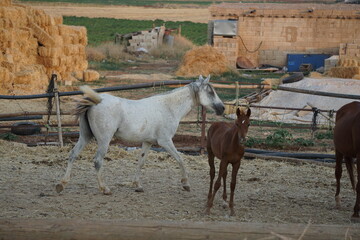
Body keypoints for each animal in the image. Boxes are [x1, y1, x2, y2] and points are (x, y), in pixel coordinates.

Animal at [55, 75, 225, 195]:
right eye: (210, 91)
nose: (222, 108)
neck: (169, 107)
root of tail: (96, 100)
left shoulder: (148, 142)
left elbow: (141, 162)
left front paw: (137, 186)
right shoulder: (165, 141)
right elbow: (180, 159)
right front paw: (186, 184)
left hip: (85, 136)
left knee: (72, 155)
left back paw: (61, 184)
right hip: (104, 140)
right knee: (97, 161)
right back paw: (105, 189)